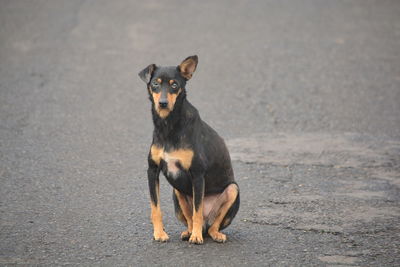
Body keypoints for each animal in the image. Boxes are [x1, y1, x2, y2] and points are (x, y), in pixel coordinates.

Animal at [140, 56, 241, 245]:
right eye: (155, 84)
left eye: (174, 85)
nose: (162, 103)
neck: (169, 125)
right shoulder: (152, 171)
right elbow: (156, 208)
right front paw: (159, 234)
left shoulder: (197, 174)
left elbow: (197, 211)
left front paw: (196, 237)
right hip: (177, 191)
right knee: (190, 220)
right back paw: (188, 232)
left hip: (232, 189)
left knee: (211, 224)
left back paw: (210, 234)